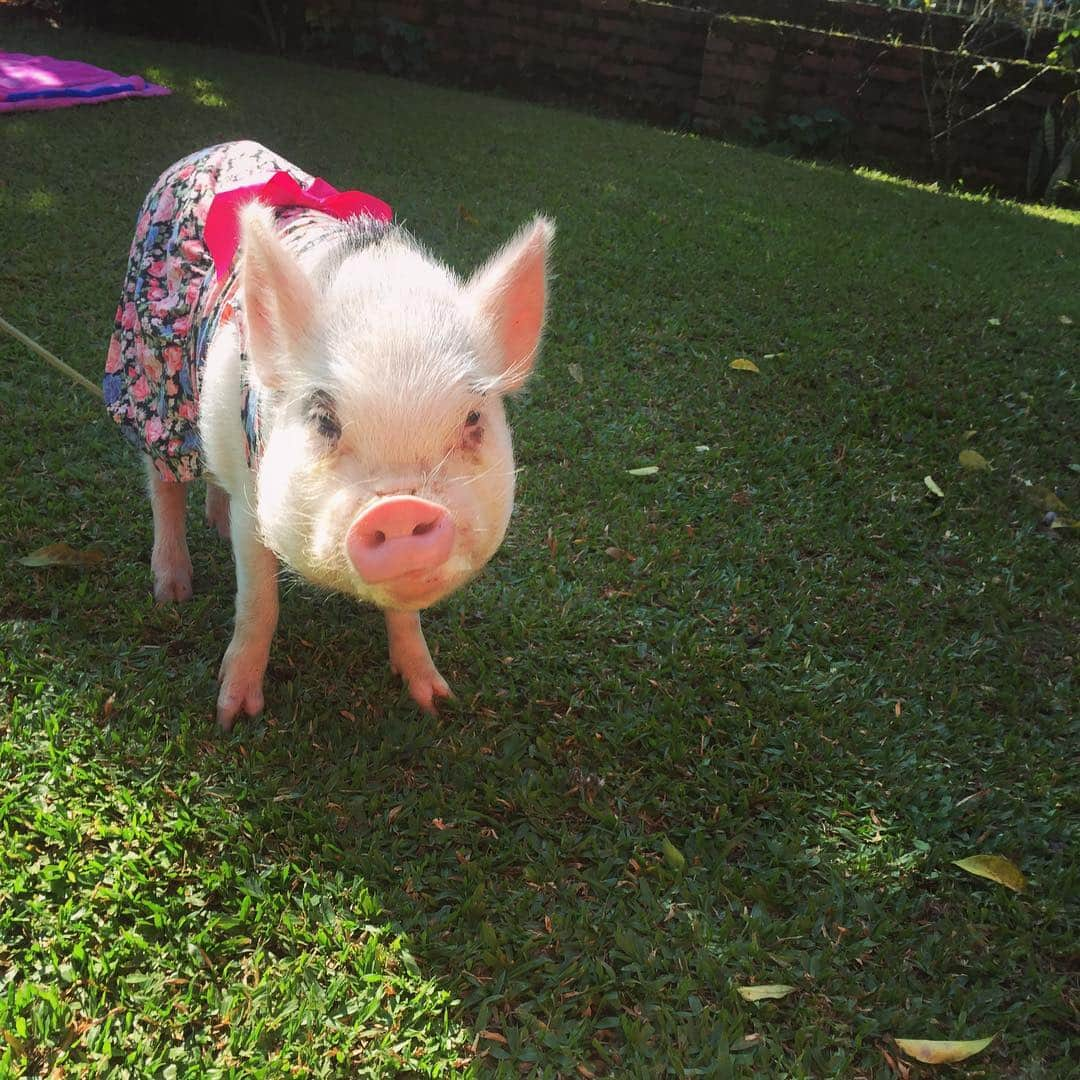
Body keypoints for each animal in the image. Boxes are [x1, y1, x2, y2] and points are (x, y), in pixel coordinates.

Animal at [105, 143, 552, 730]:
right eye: (324, 420)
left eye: (474, 419)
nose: (402, 507)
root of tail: (204, 151)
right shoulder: (256, 495)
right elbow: (259, 601)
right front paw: (232, 717)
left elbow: (406, 617)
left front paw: (436, 700)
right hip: (153, 374)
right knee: (164, 483)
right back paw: (173, 591)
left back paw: (214, 528)